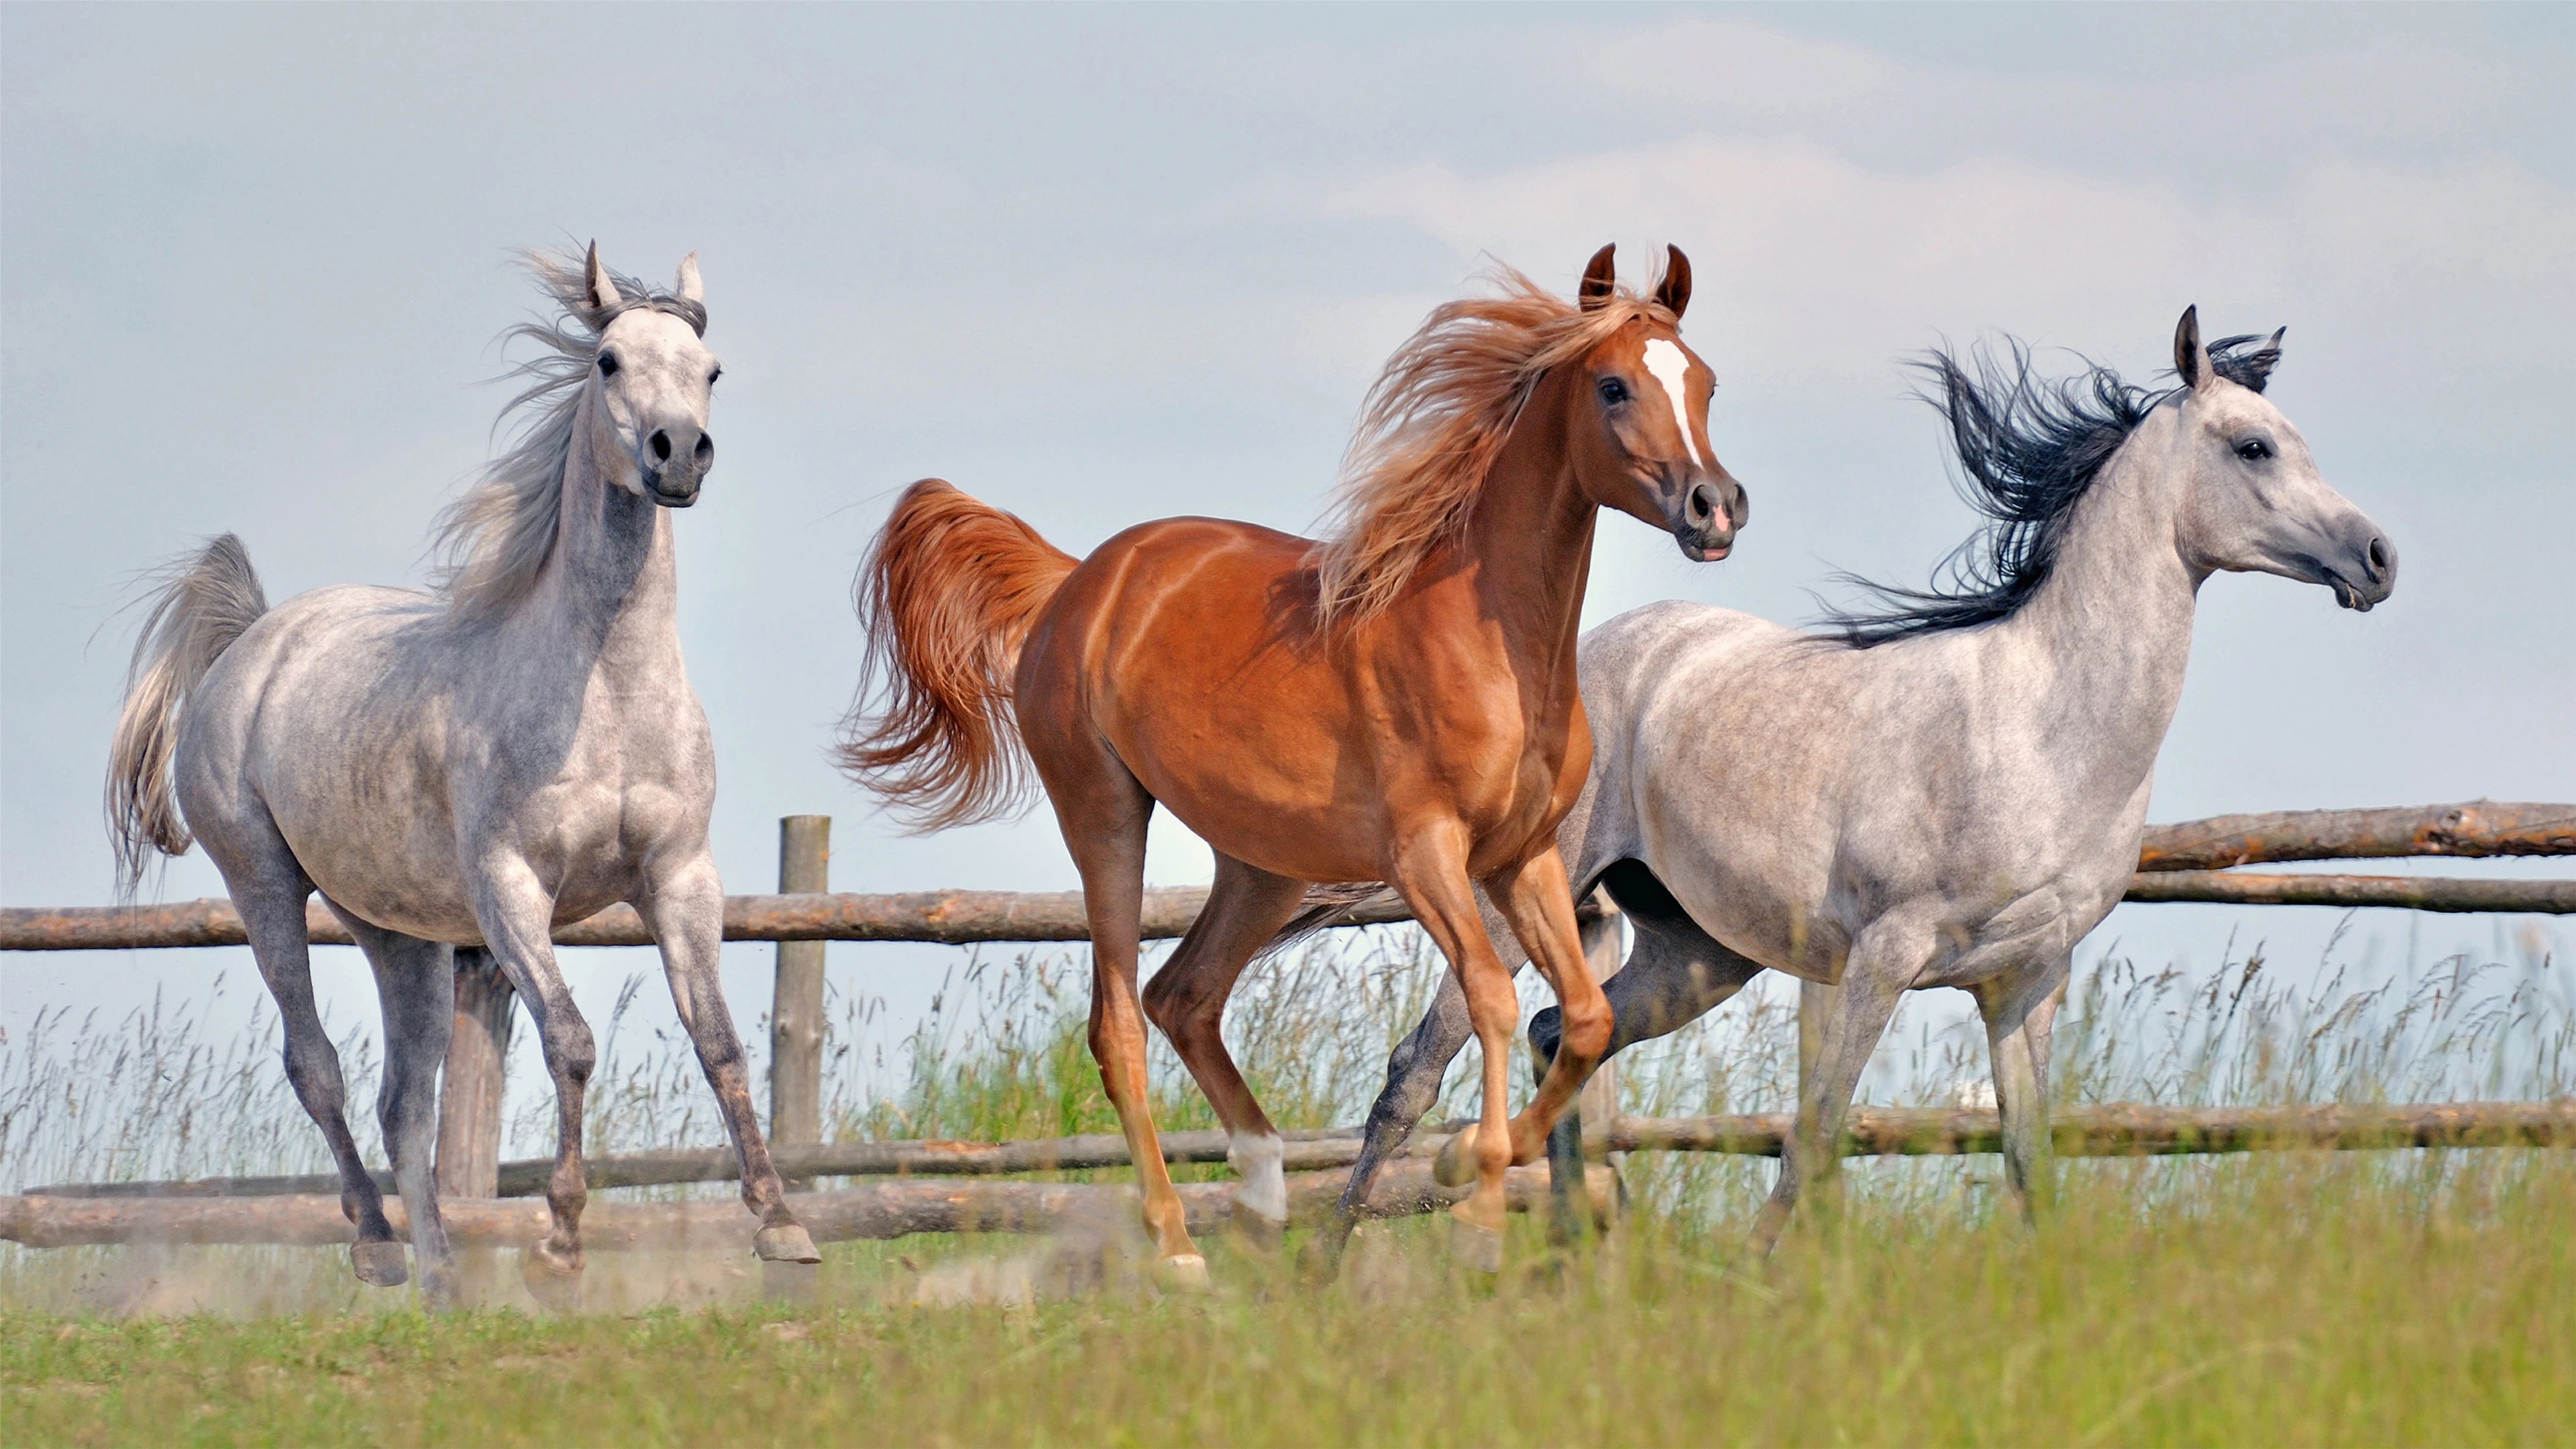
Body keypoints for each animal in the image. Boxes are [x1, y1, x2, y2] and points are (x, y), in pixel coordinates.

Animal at [105, 245, 818, 1308]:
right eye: (608, 359)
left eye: (712, 369)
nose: (678, 455)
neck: (602, 689)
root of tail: (254, 643)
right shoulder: (509, 888)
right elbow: (571, 1041)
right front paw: (560, 1244)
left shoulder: (681, 877)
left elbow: (721, 1042)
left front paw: (783, 1226)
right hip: (265, 886)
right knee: (316, 1065)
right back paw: (378, 1246)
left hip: (399, 934)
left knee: (405, 1101)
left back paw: (444, 1279)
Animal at [837, 245, 1749, 1281]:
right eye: (1612, 386)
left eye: (1706, 382)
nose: (1716, 509)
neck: (1488, 641)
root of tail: (1076, 582)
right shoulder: (1426, 855)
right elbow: (1489, 998)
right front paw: (1476, 1210)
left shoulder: (1525, 856)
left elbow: (1587, 1016)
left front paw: (1467, 1162)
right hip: (1104, 813)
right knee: (1119, 1023)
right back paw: (1179, 1247)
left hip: (1263, 864)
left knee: (1183, 996)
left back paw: (1267, 1201)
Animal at [1318, 307, 2396, 1262]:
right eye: (2254, 447)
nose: (2378, 558)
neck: (2041, 728)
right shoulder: (1883, 956)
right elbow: (1817, 1136)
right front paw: (1762, 1281)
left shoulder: (2027, 982)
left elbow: (2028, 1163)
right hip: (1522, 900)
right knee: (1417, 1071)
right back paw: (1327, 1268)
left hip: (1697, 955)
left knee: (1563, 1032)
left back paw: (1576, 1261)